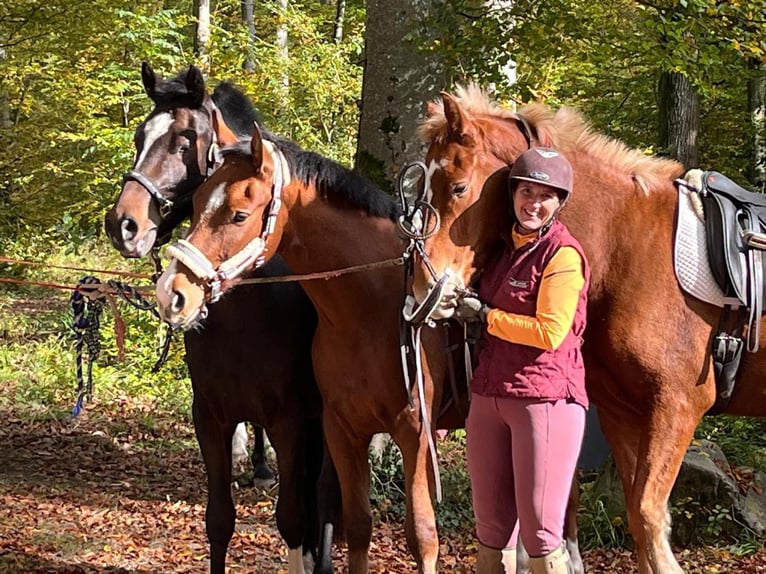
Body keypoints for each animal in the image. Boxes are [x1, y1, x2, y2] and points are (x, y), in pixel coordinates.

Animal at [103, 64, 338, 574]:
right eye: (139, 136)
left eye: (185, 140)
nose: (123, 225)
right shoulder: (210, 418)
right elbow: (219, 520)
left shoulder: (291, 423)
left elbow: (294, 521)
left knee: (328, 501)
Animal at [414, 85, 766, 574]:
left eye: (459, 187)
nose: (422, 287)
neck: (627, 248)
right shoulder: (624, 412)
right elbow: (641, 523)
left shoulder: (677, 407)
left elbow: (649, 518)